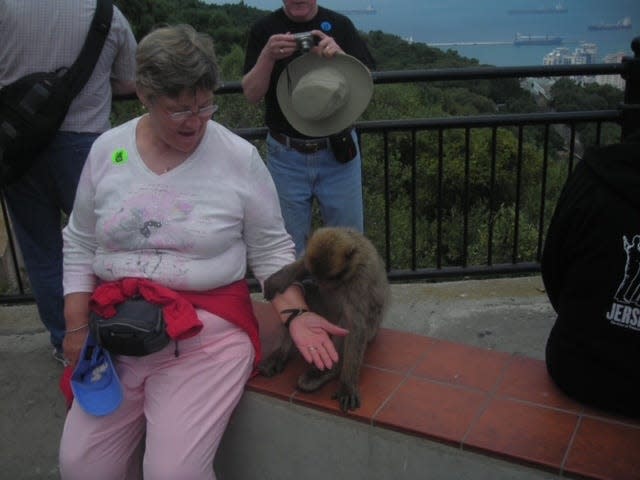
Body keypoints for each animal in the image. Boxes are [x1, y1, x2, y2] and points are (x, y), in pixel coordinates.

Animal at [258, 227, 390, 410]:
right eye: (320, 277)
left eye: (330, 278)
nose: (321, 284)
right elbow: (304, 265)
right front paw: (281, 278)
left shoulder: (360, 277)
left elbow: (355, 326)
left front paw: (347, 385)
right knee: (307, 297)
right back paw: (280, 355)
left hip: (370, 331)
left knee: (346, 322)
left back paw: (329, 371)